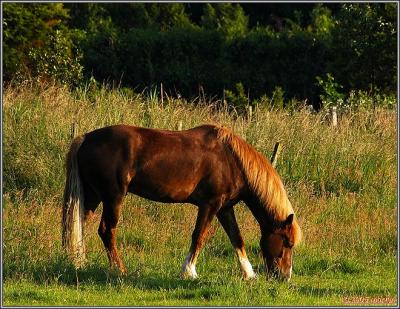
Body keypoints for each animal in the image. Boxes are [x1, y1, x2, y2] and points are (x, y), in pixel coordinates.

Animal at [61, 122, 300, 280]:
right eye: (287, 242)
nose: (284, 276)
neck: (232, 160)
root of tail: (85, 138)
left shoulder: (224, 208)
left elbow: (236, 238)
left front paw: (249, 274)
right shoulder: (210, 205)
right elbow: (199, 236)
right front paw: (189, 272)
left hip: (92, 197)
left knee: (78, 225)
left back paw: (77, 262)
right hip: (113, 198)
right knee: (106, 230)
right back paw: (119, 269)